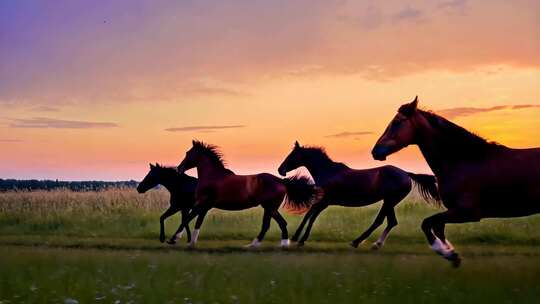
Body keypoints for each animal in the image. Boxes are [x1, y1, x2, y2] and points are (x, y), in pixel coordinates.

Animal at [171, 141, 318, 248]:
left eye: (188, 153)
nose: (179, 168)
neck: (212, 176)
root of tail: (281, 181)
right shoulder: (204, 207)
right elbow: (197, 223)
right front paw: (191, 243)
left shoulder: (201, 204)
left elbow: (187, 219)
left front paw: (173, 239)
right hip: (269, 208)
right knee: (271, 224)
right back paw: (255, 245)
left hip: (270, 207)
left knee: (276, 224)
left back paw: (279, 244)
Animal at [278, 141, 438, 248]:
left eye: (292, 155)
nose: (280, 169)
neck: (328, 172)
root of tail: (406, 174)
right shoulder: (323, 201)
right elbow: (309, 214)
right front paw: (296, 237)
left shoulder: (325, 201)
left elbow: (311, 216)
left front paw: (300, 239)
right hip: (389, 201)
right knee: (390, 221)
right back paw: (375, 244)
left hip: (390, 201)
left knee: (382, 221)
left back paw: (357, 242)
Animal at [374, 97, 540, 266]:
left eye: (397, 122)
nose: (375, 151)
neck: (464, 160)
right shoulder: (454, 211)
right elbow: (438, 227)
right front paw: (451, 253)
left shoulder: (467, 212)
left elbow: (427, 223)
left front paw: (448, 254)